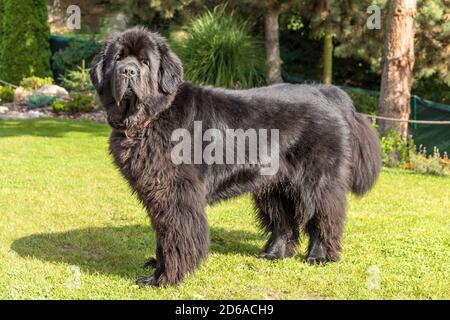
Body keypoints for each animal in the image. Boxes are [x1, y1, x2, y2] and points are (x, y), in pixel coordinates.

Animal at [90, 28, 380, 288]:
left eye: (145, 61)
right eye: (118, 59)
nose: (128, 71)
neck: (150, 117)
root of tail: (327, 92)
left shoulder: (175, 194)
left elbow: (175, 235)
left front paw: (163, 278)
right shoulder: (157, 193)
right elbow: (163, 234)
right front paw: (158, 268)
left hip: (318, 180)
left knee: (323, 215)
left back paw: (320, 256)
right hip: (275, 184)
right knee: (282, 219)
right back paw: (274, 253)